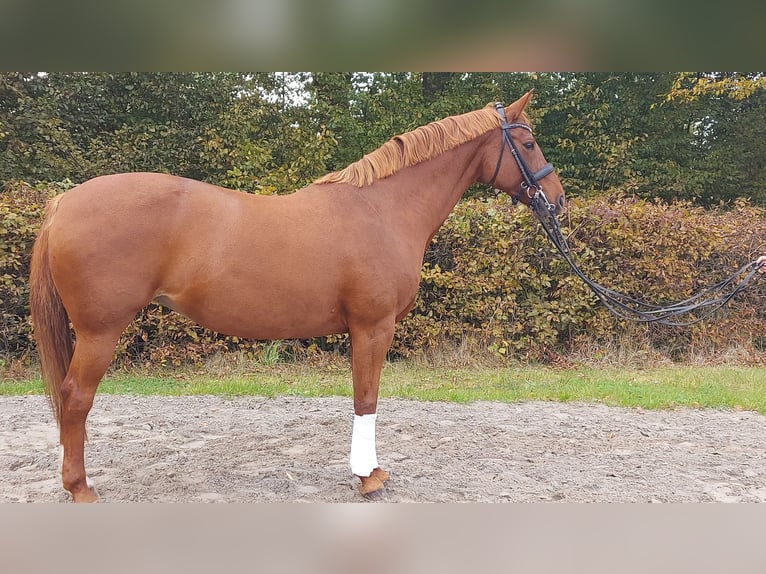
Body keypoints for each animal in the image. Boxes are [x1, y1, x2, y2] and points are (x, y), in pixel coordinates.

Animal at [28, 88, 564, 502]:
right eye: (529, 142)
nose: (557, 201)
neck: (382, 209)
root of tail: (64, 202)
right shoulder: (373, 326)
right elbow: (366, 397)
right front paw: (369, 478)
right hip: (99, 331)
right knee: (75, 398)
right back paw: (80, 488)